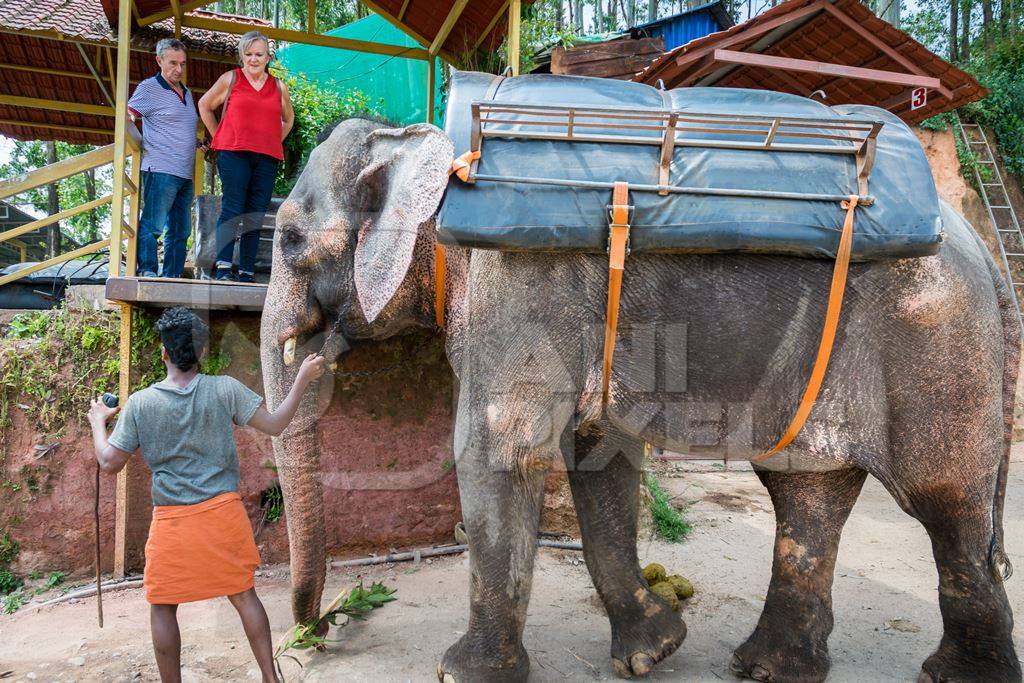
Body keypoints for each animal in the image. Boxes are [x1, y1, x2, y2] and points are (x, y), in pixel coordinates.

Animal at [260, 117, 1019, 683]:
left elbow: (500, 450)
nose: (317, 630)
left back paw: (954, 674)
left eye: (290, 240)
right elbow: (598, 454)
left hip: (936, 347)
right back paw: (768, 667)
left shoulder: (516, 284)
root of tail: (986, 252)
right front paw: (655, 650)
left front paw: (461, 674)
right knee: (809, 490)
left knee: (943, 502)